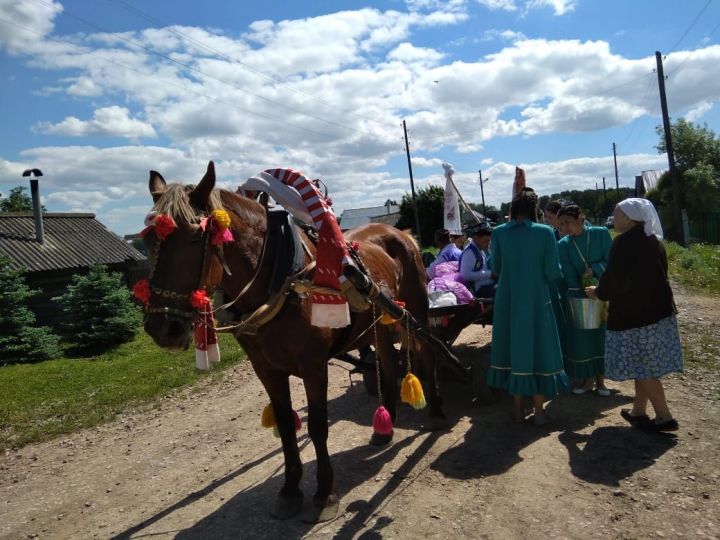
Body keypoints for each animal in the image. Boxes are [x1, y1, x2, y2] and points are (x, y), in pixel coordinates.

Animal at [140, 161, 444, 524]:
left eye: (195, 236)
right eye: (148, 241)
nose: (163, 328)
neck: (279, 281)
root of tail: (401, 233)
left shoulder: (313, 365)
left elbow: (317, 426)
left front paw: (324, 494)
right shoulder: (265, 368)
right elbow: (286, 426)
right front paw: (289, 490)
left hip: (415, 308)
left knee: (427, 351)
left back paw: (436, 411)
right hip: (378, 323)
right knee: (387, 360)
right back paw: (385, 426)